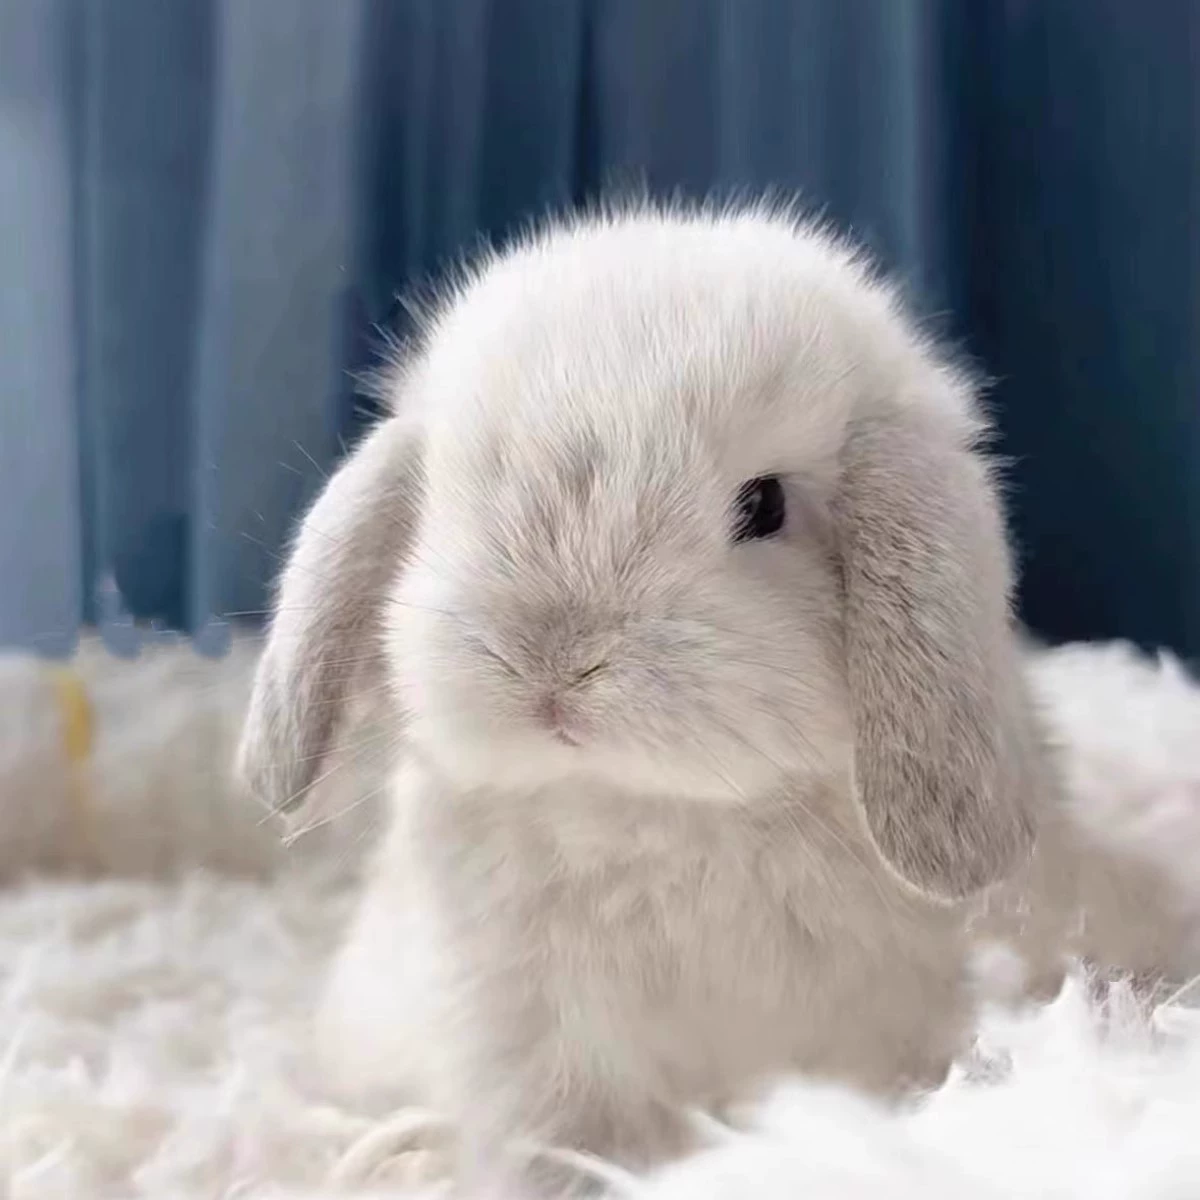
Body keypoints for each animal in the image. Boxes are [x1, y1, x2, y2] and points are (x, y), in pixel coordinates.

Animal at [237, 201, 1052, 1196]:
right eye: (453, 494)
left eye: (764, 505)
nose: (552, 659)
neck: (649, 812)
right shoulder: (536, 1052)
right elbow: (561, 1148)